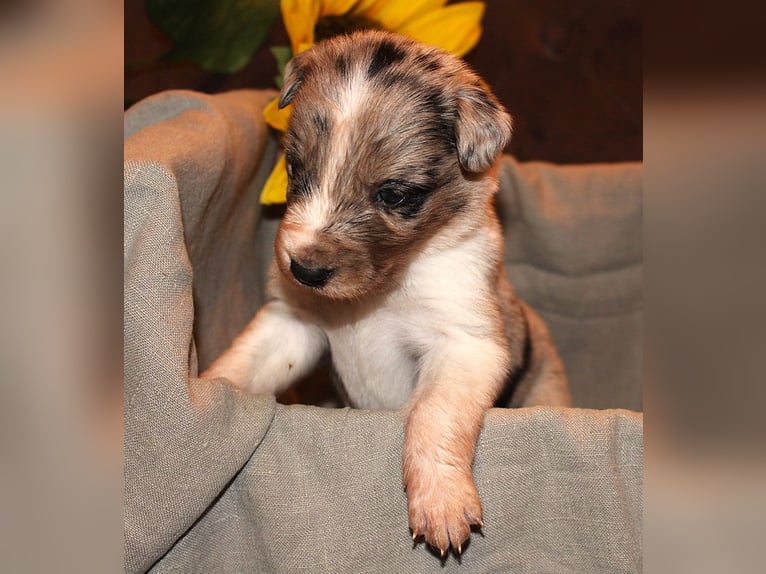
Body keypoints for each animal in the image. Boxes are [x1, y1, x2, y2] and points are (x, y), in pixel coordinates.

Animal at [204, 29, 568, 556]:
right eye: (294, 169)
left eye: (394, 194)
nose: (304, 270)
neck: (380, 291)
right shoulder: (294, 323)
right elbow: (243, 365)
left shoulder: (464, 342)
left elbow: (434, 415)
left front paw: (441, 500)